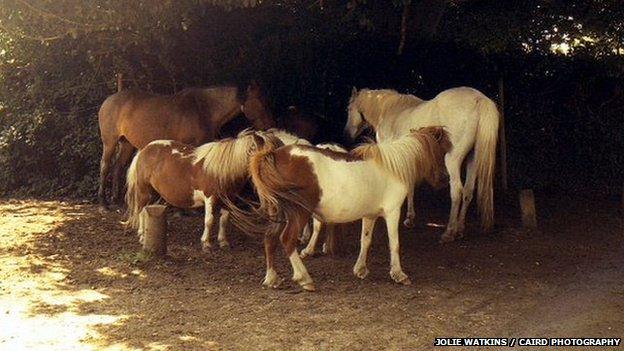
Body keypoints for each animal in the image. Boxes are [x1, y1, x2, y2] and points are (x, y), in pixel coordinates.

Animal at [97, 82, 272, 208]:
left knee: (118, 167)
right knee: (105, 166)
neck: (204, 110)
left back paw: (117, 200)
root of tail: (108, 101)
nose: (269, 126)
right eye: (259, 103)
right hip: (109, 142)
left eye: (265, 102)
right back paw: (103, 203)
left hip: (126, 144)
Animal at [344, 86, 500, 243]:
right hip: (472, 159)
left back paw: (449, 232)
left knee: (457, 191)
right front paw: (410, 219)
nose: (347, 134)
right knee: (468, 191)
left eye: (349, 108)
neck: (390, 110)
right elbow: (410, 186)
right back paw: (460, 229)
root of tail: (479, 99)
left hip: (452, 160)